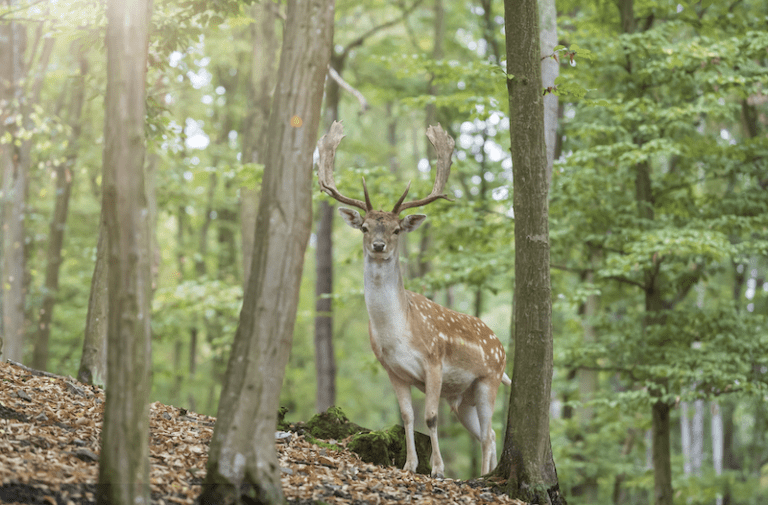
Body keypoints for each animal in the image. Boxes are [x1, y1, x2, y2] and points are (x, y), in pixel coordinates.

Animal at [316, 120, 511, 478]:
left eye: (396, 229)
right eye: (365, 227)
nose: (379, 245)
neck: (398, 332)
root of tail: (501, 346)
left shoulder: (434, 361)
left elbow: (430, 417)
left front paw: (438, 470)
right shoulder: (393, 370)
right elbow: (407, 416)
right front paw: (409, 465)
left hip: (488, 379)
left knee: (491, 431)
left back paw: (482, 476)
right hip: (461, 398)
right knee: (487, 432)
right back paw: (485, 473)